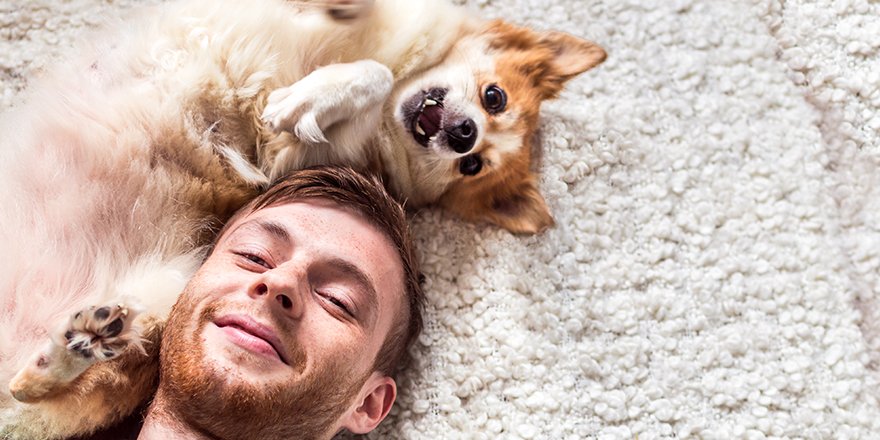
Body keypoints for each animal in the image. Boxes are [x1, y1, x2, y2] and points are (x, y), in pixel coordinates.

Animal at [0, 0, 604, 434]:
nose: (464, 135)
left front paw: (311, 96)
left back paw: (78, 345)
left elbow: (369, 77)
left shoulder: (292, 159)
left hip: (169, 292)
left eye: (473, 166)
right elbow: (369, 48)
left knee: (38, 386)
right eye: (494, 97)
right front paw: (345, 13)